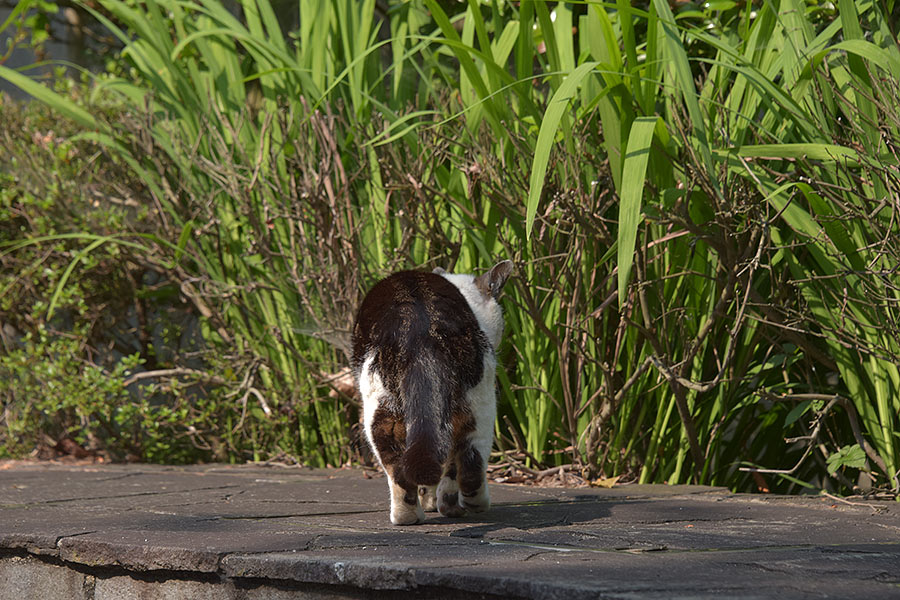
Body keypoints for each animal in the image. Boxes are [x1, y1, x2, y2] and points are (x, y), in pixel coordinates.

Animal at [352, 260, 512, 524]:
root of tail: (419, 329)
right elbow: (449, 467)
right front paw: (439, 502)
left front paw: (430, 501)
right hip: (479, 401)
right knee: (470, 459)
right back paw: (469, 504)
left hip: (379, 408)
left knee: (398, 466)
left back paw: (407, 515)